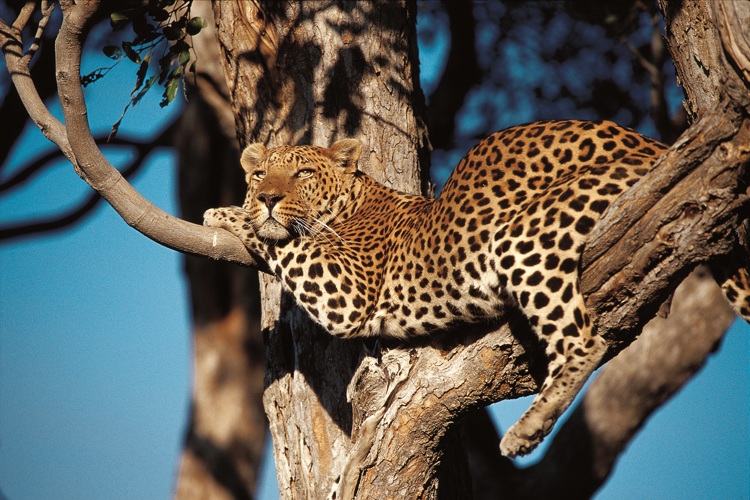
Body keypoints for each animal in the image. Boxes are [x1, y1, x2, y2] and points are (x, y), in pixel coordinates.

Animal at [204, 119, 750, 457]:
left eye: (302, 173)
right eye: (259, 172)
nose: (267, 197)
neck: (357, 201)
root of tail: (653, 143)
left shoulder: (348, 291)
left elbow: (286, 241)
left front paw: (230, 214)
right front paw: (238, 209)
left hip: (526, 236)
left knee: (583, 342)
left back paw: (527, 430)